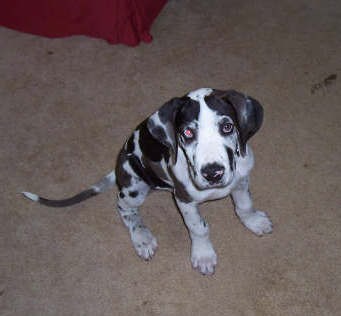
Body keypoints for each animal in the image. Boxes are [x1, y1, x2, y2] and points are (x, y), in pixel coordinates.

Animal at [23, 87, 270, 276]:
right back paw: (142, 238)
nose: (213, 173)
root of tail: (118, 163)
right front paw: (203, 255)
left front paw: (254, 221)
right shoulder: (184, 199)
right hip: (134, 188)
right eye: (188, 133)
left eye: (227, 127)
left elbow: (244, 205)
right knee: (124, 208)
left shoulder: (241, 181)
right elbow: (198, 227)